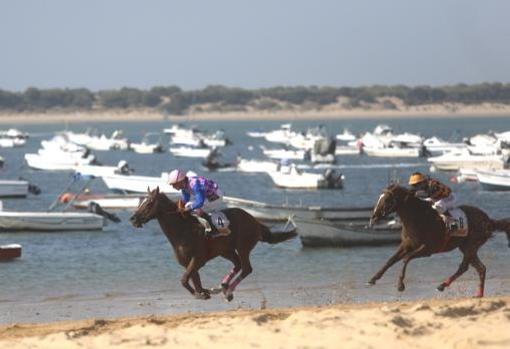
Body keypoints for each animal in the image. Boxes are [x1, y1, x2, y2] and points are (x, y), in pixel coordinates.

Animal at [129, 186, 296, 300]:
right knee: (238, 265)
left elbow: (184, 279)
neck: (182, 230)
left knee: (246, 268)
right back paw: (222, 287)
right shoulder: (188, 262)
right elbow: (193, 279)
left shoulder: (198, 259)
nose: (133, 219)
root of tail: (254, 220)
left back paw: (228, 291)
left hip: (243, 246)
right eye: (142, 201)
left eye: (149, 203)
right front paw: (203, 292)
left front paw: (200, 294)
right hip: (226, 251)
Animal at [366, 182, 510, 296]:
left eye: (386, 200)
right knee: (480, 268)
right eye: (379, 198)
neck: (417, 217)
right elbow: (391, 260)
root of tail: (489, 220)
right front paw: (372, 279)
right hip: (466, 247)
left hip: (471, 245)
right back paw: (478, 294)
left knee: (464, 267)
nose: (373, 217)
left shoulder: (428, 249)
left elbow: (406, 259)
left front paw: (400, 285)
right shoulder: (406, 245)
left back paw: (442, 285)